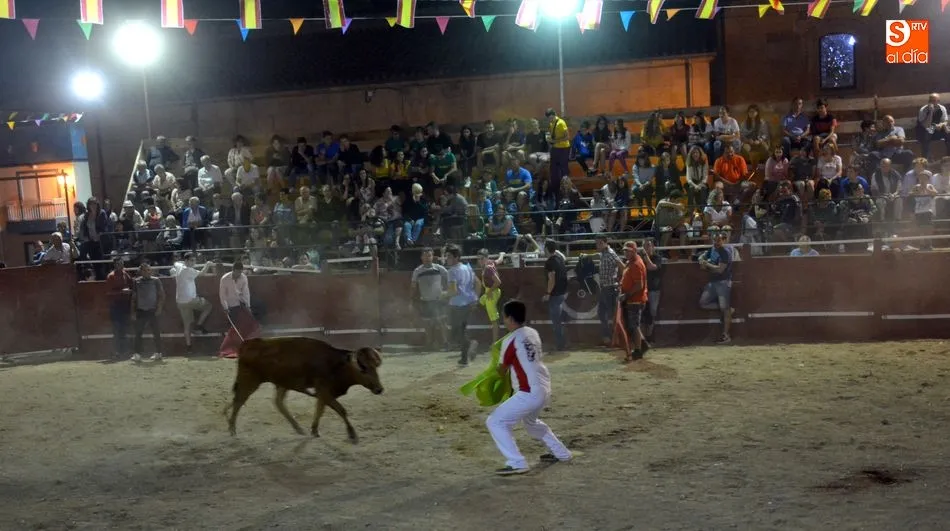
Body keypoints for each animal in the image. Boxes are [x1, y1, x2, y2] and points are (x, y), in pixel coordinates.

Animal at [226, 337, 384, 443]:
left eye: (376, 366)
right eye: (363, 368)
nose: (379, 389)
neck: (335, 364)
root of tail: (249, 343)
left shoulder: (323, 393)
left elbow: (320, 410)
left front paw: (314, 430)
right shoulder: (324, 391)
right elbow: (341, 410)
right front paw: (352, 434)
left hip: (282, 384)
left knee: (278, 403)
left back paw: (298, 428)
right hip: (250, 381)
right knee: (238, 401)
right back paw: (232, 429)